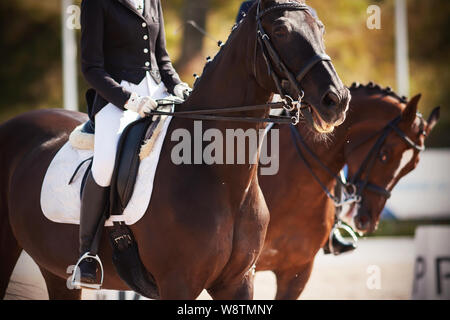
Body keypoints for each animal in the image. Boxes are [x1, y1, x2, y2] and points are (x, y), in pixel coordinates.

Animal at [0, 0, 348, 300]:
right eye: (280, 31)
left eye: (320, 28)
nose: (337, 100)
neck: (221, 178)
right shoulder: (178, 284)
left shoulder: (238, 282)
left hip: (55, 270)